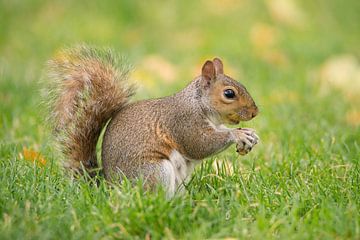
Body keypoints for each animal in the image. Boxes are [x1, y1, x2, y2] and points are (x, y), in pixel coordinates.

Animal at [47, 45, 258, 197]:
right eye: (229, 93)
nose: (255, 112)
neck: (199, 104)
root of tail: (110, 187)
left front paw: (250, 135)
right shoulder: (183, 122)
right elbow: (199, 144)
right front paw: (237, 134)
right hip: (154, 171)